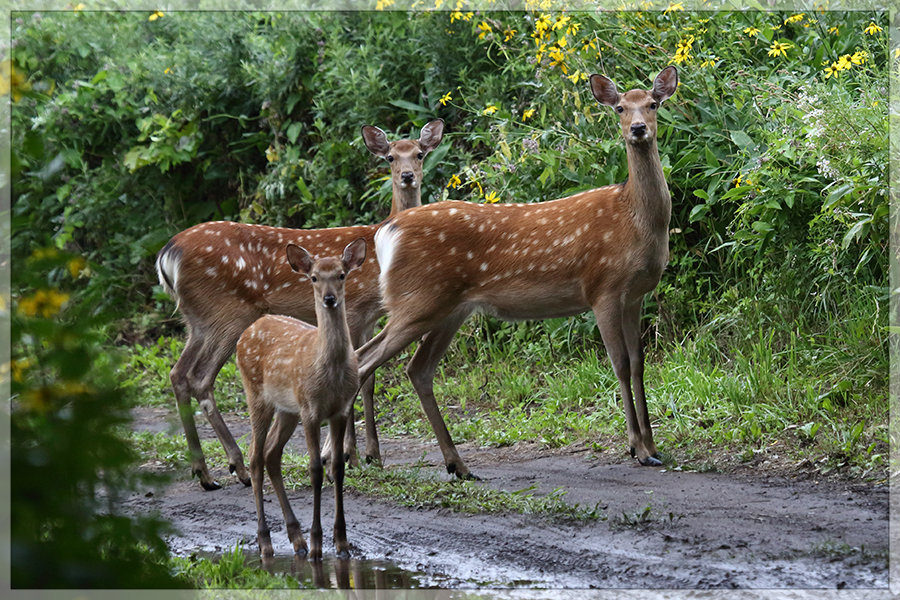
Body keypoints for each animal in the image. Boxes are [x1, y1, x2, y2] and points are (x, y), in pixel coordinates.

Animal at [160, 119, 448, 490]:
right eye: (390, 157)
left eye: (420, 153)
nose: (408, 175)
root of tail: (168, 254)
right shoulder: (354, 309)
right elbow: (360, 372)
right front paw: (352, 456)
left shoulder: (370, 315)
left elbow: (369, 380)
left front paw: (371, 455)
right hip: (227, 312)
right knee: (199, 378)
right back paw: (234, 467)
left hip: (196, 320)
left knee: (178, 373)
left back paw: (206, 470)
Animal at [239, 237, 370, 556]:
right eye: (313, 278)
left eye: (341, 274)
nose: (329, 299)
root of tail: (247, 331)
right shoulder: (310, 410)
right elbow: (314, 469)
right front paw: (317, 544)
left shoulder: (340, 409)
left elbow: (337, 467)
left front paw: (341, 541)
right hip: (257, 394)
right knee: (255, 457)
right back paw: (265, 541)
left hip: (287, 409)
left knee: (271, 454)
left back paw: (295, 537)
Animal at [356, 67, 680, 478]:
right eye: (620, 107)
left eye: (652, 104)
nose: (638, 129)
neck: (633, 218)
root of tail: (387, 229)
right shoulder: (602, 288)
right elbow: (620, 365)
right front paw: (637, 448)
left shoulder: (635, 294)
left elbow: (639, 364)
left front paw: (652, 446)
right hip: (416, 301)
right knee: (364, 360)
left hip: (449, 309)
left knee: (417, 369)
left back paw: (457, 465)